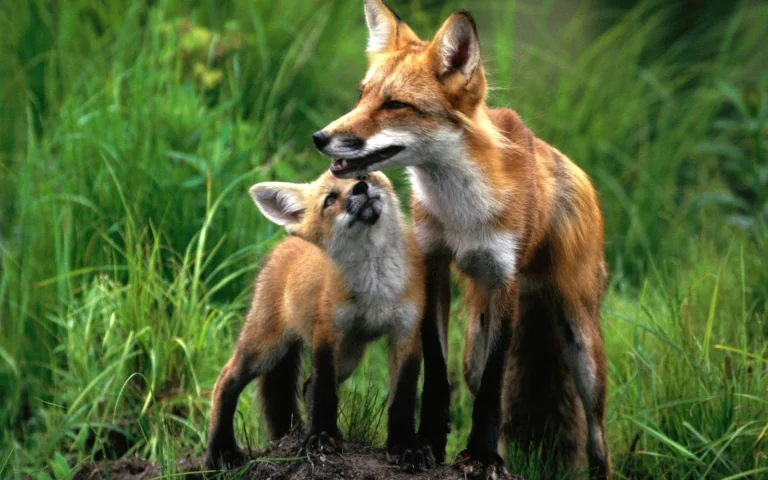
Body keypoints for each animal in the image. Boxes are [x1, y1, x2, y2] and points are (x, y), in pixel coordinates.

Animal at [205, 171, 432, 472]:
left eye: (363, 174)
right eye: (330, 199)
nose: (361, 187)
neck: (375, 285)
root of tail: (285, 242)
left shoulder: (407, 332)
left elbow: (403, 397)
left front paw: (406, 446)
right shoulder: (327, 330)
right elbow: (325, 389)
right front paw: (323, 436)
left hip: (349, 356)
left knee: (306, 385)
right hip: (265, 349)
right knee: (225, 380)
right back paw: (221, 452)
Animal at [311, 1, 611, 478]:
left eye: (395, 104)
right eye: (362, 95)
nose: (320, 138)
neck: (462, 215)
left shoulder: (504, 279)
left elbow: (493, 386)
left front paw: (482, 457)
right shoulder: (434, 263)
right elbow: (438, 372)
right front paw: (427, 444)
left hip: (583, 347)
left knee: (597, 439)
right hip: (473, 341)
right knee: (493, 397)